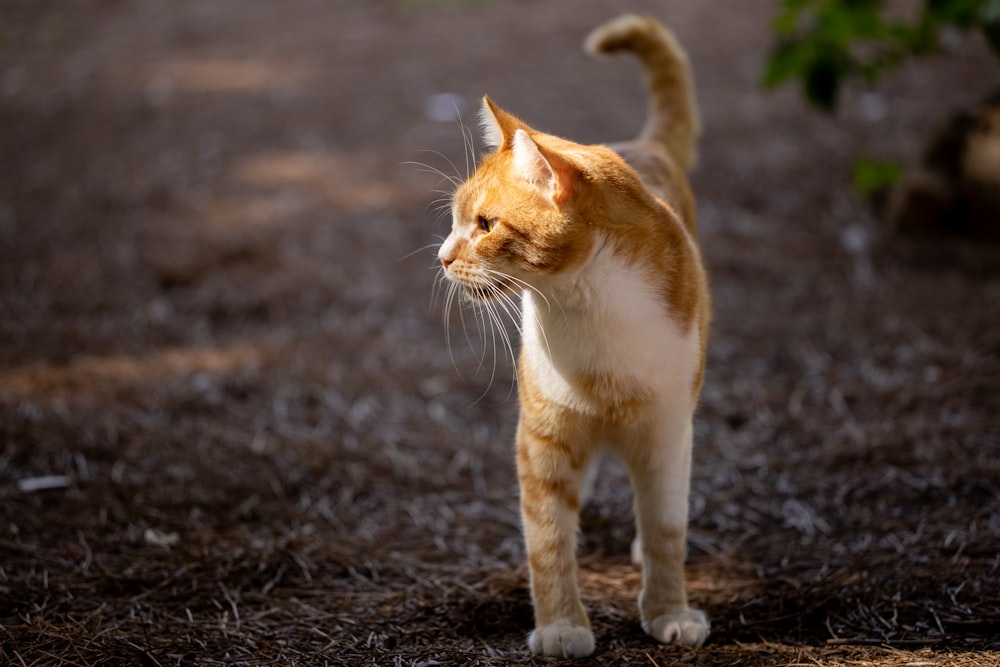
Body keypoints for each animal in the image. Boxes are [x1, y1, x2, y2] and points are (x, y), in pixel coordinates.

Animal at [438, 14, 712, 656]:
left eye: (484, 225)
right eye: (456, 222)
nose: (441, 257)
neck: (588, 308)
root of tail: (644, 144)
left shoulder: (667, 430)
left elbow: (664, 528)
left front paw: (669, 610)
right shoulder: (544, 435)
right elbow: (548, 541)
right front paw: (562, 625)